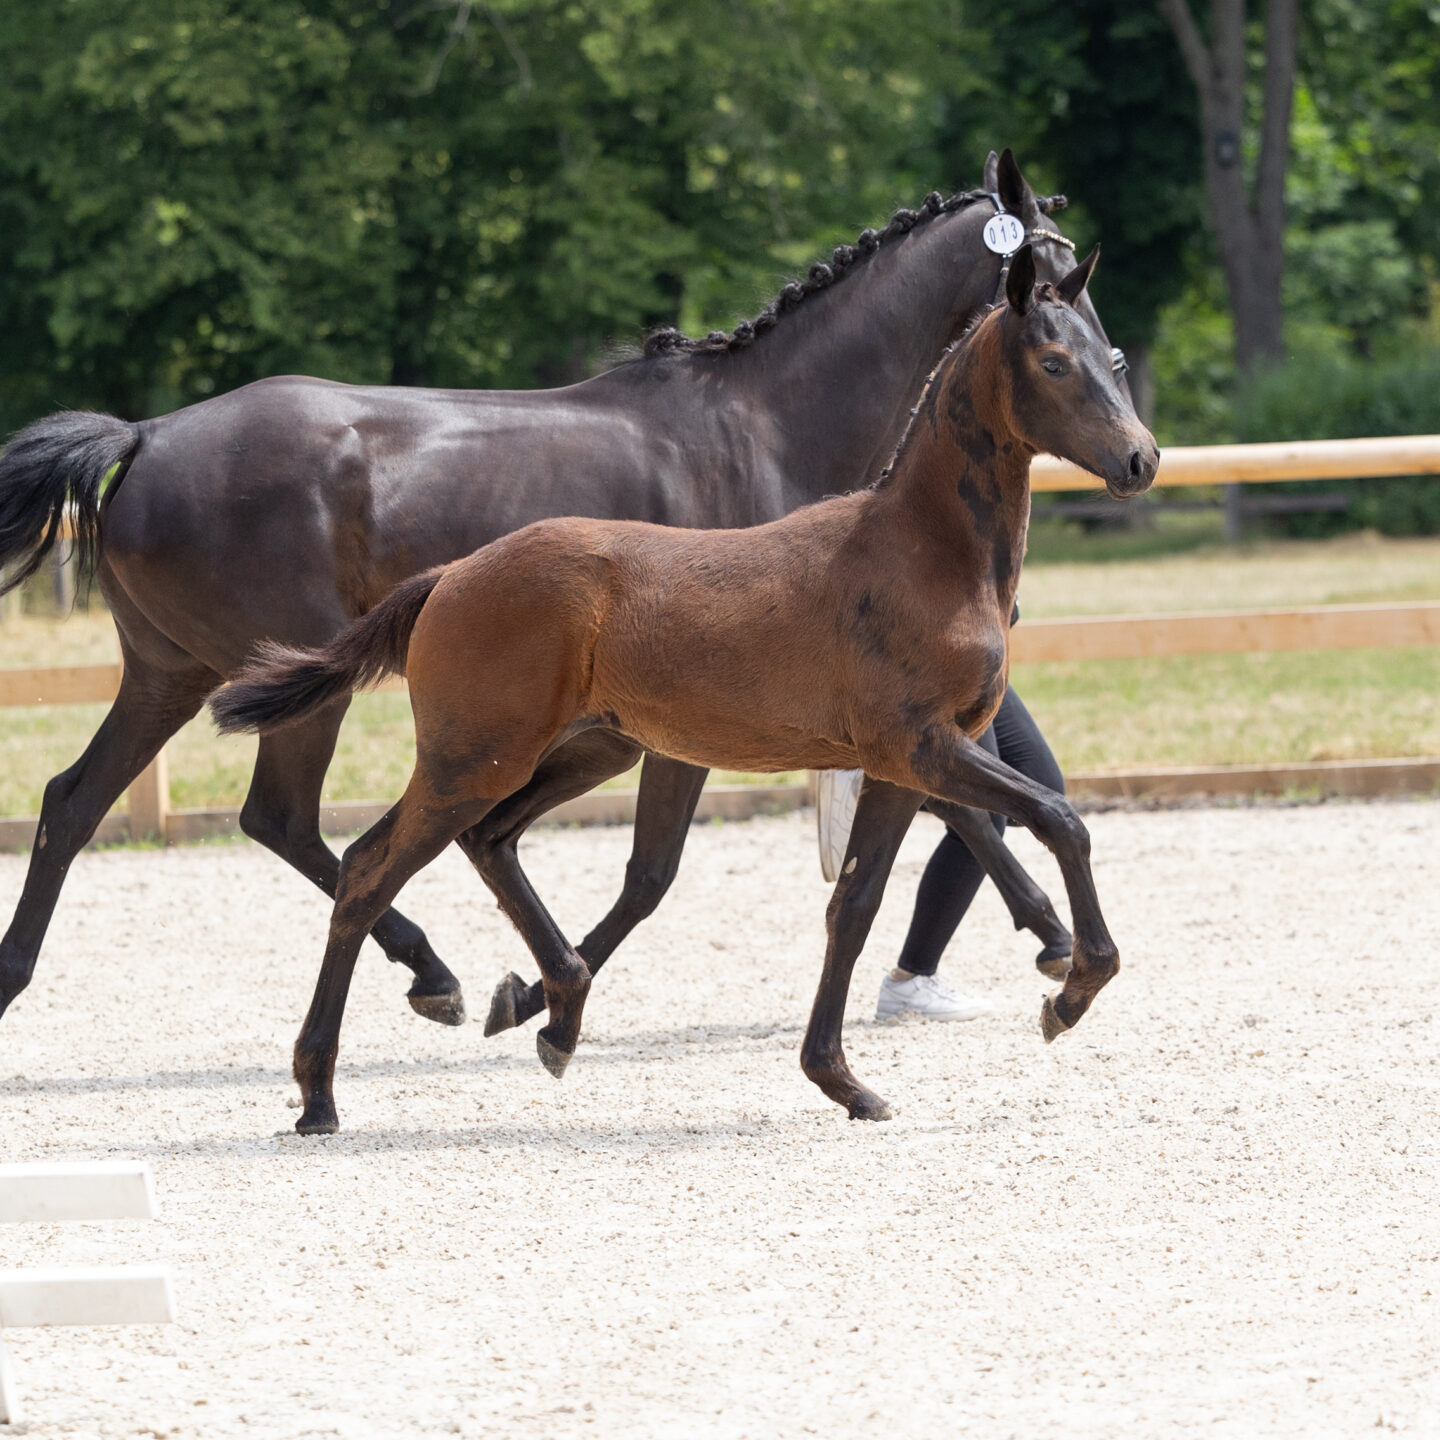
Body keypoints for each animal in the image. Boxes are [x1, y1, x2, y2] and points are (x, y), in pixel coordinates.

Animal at [213, 241, 1157, 1128]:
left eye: (1108, 356)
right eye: (1053, 361)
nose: (1140, 460)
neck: (919, 553)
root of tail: (451, 575)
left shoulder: (900, 768)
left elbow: (853, 906)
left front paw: (842, 1081)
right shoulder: (923, 746)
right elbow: (1060, 819)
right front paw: (1071, 991)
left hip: (586, 750)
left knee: (485, 842)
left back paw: (554, 1015)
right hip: (473, 759)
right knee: (370, 870)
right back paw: (324, 1091)